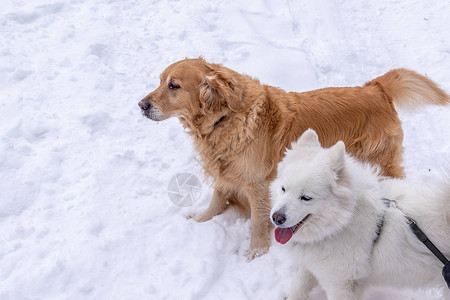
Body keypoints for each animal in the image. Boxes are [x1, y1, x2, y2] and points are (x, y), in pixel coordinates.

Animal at [270, 129, 450, 300]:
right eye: (283, 188)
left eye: (306, 197)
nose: (276, 218)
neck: (342, 222)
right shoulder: (314, 266)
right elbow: (300, 286)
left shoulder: (342, 285)